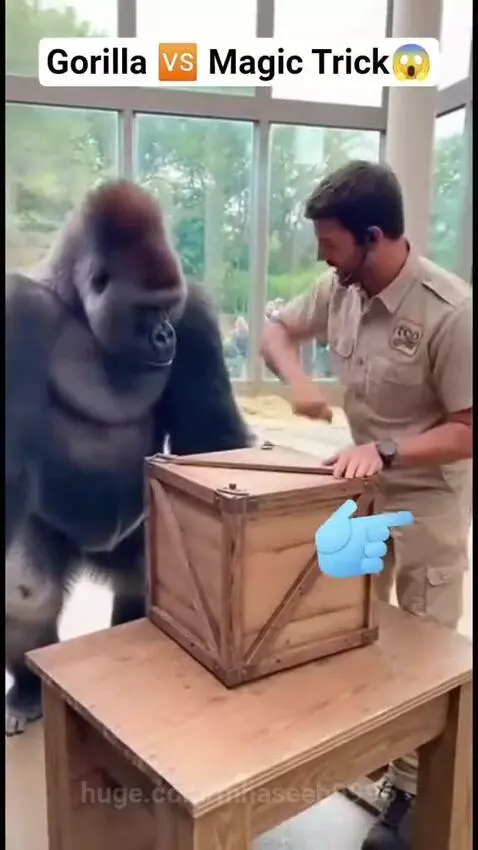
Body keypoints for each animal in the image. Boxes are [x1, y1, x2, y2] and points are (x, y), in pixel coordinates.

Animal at [5, 179, 254, 735]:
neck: (78, 308)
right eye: (146, 309)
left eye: (168, 307)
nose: (165, 335)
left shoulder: (196, 315)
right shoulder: (17, 313)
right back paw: (28, 690)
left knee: (145, 572)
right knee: (26, 589)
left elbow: (211, 437)